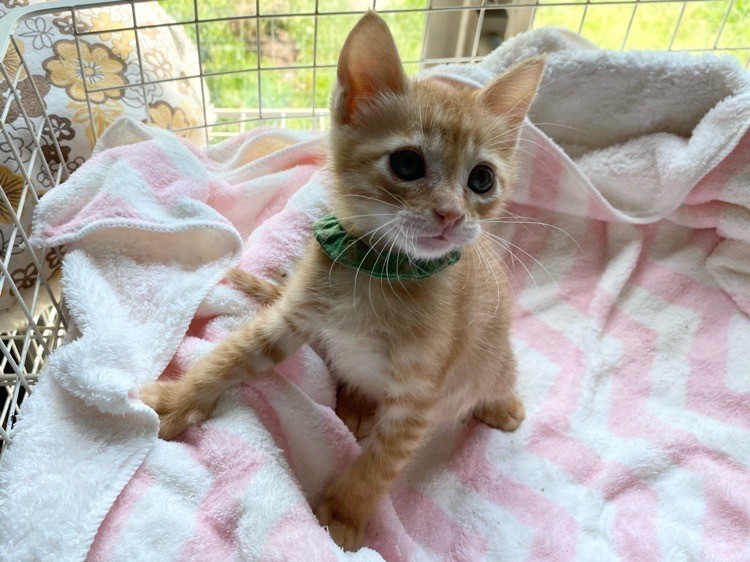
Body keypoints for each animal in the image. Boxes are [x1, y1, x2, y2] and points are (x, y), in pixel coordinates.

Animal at [141, 11, 544, 552]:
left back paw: (501, 403)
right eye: (407, 163)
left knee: (499, 372)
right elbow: (230, 353)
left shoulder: (419, 397)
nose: (451, 215)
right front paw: (180, 401)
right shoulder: (290, 318)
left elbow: (380, 463)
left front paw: (344, 516)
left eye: (482, 179)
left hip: (490, 353)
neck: (379, 274)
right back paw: (354, 400)